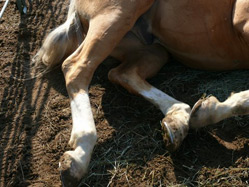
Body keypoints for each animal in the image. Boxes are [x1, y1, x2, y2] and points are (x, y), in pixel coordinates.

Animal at [34, 0, 249, 186]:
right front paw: (209, 110)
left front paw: (208, 110)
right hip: (119, 14)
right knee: (76, 66)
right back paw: (80, 155)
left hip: (154, 51)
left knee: (122, 73)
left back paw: (178, 119)